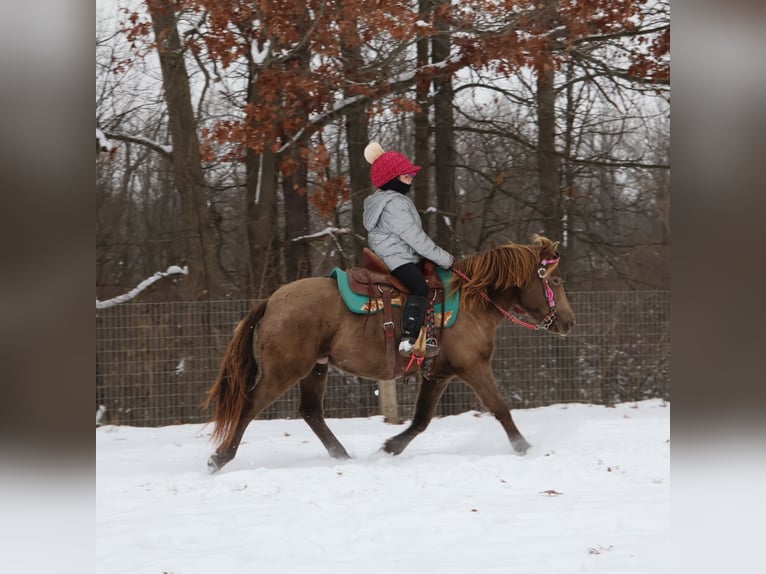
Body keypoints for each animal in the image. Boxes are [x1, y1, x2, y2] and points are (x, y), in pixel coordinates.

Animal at [204, 235, 575, 473]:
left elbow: (421, 419)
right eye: (555, 280)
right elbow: (500, 408)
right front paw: (525, 448)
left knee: (311, 412)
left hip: (316, 369)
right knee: (249, 406)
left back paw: (343, 457)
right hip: (285, 371)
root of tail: (270, 301)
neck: (474, 300)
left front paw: (390, 447)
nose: (569, 322)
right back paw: (220, 457)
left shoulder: (439, 374)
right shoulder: (474, 367)